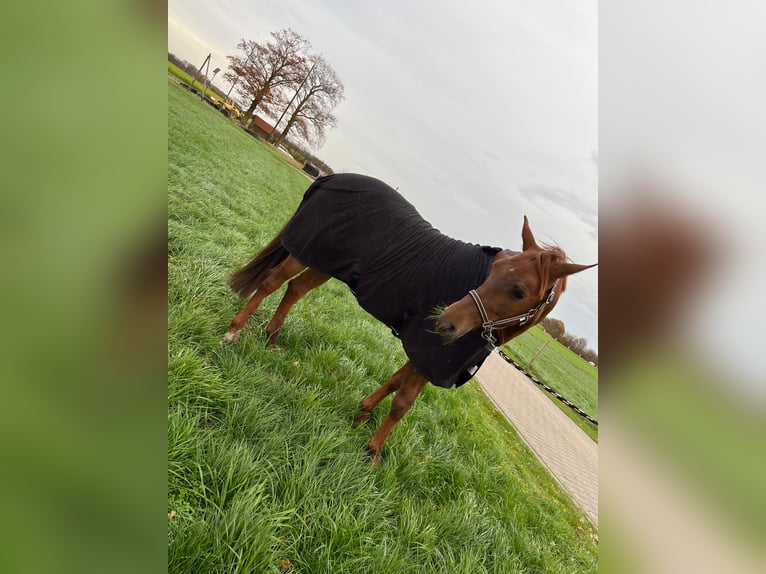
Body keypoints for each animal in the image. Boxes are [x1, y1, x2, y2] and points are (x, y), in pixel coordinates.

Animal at [225, 174, 596, 464]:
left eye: (520, 291)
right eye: (498, 268)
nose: (445, 321)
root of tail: (332, 177)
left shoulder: (423, 355)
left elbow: (394, 383)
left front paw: (361, 416)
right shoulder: (428, 350)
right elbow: (403, 402)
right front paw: (372, 452)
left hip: (326, 265)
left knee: (294, 290)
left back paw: (272, 338)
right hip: (306, 253)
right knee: (271, 283)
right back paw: (234, 333)